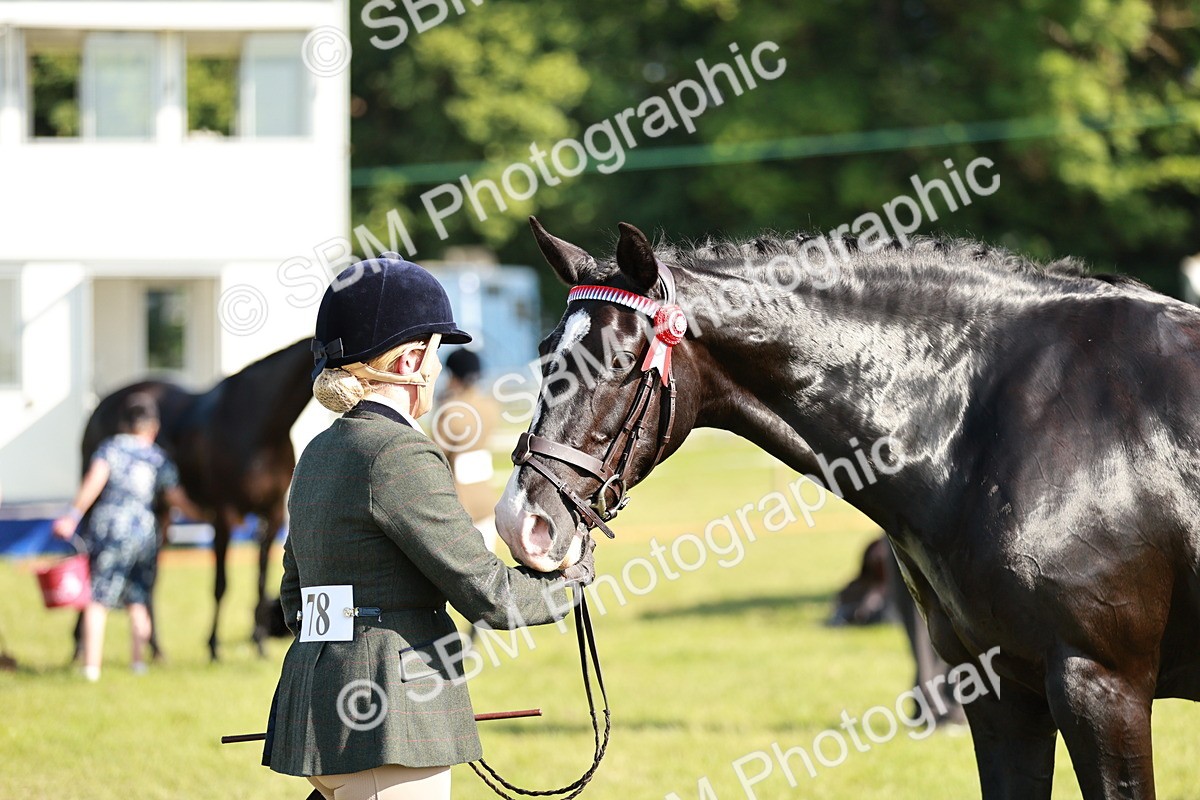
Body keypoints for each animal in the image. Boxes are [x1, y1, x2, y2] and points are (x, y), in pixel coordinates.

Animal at [81, 340, 315, 660]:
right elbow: (220, 584)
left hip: (161, 516)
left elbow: (261, 581)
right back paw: (79, 646)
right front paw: (214, 647)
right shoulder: (223, 515)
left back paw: (156, 649)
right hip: (98, 499)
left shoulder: (272, 513)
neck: (259, 425)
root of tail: (101, 404)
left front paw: (259, 644)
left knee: (149, 581)